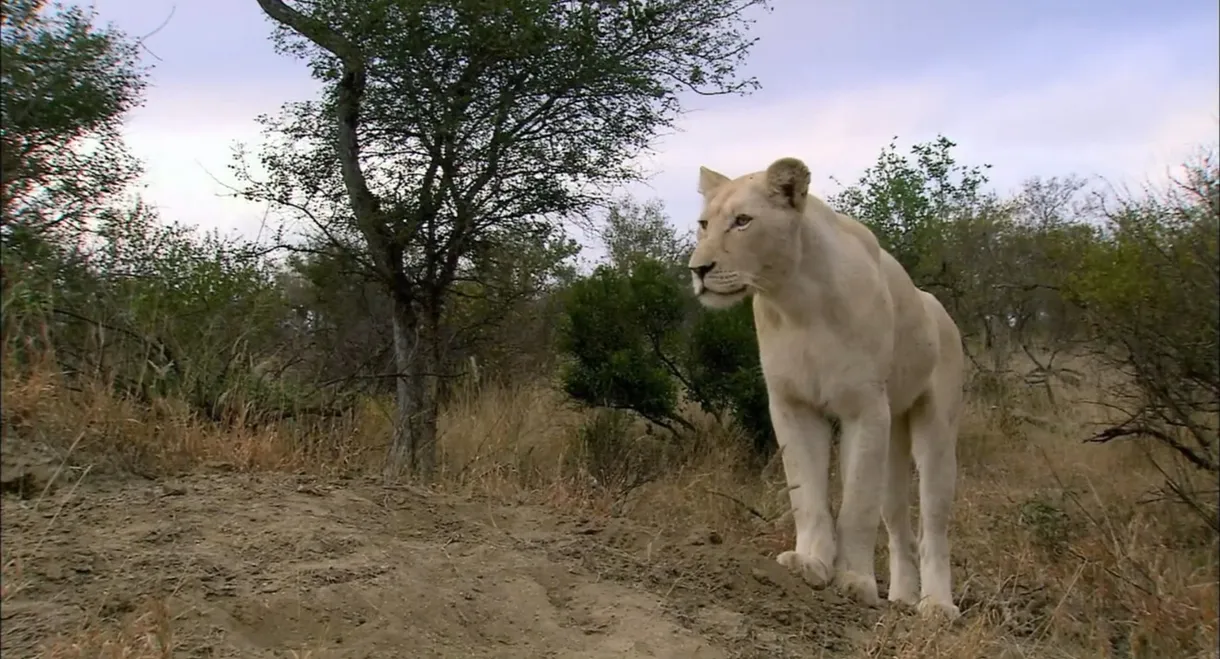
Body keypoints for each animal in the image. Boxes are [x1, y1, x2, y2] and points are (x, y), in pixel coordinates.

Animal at [688, 157, 965, 620]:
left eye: (743, 221)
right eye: (704, 224)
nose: (698, 270)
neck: (796, 301)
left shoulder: (865, 407)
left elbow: (856, 506)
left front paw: (854, 581)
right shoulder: (793, 405)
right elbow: (808, 496)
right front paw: (811, 564)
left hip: (937, 429)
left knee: (933, 525)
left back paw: (936, 606)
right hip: (894, 434)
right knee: (899, 526)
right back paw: (902, 597)